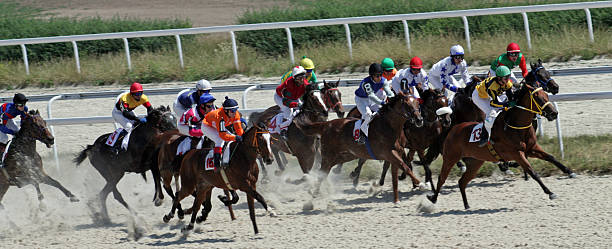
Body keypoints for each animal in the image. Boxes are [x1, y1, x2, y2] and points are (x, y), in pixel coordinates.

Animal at [426, 82, 568, 209]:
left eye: (547, 96)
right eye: (538, 98)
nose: (554, 113)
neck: (515, 125)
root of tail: (452, 129)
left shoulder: (532, 148)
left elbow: (551, 157)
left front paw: (568, 171)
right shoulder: (517, 154)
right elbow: (533, 172)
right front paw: (550, 193)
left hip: (475, 162)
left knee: (462, 182)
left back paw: (466, 205)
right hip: (450, 158)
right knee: (442, 178)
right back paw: (433, 198)